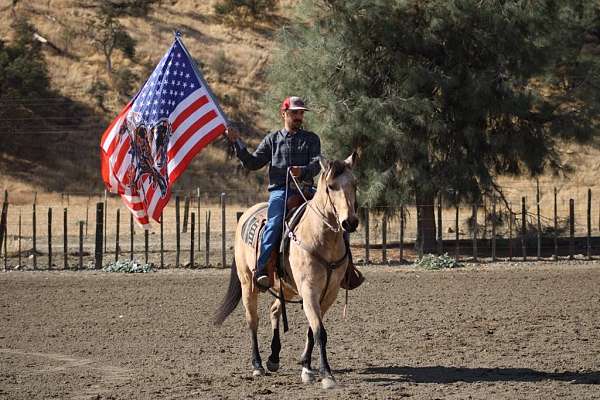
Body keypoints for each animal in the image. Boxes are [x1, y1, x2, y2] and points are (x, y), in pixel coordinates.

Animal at [214, 152, 358, 390]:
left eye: (354, 185)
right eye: (331, 186)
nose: (350, 222)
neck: (320, 238)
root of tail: (245, 214)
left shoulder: (329, 293)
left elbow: (313, 330)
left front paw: (307, 368)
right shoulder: (309, 290)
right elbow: (320, 331)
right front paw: (326, 375)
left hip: (287, 287)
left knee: (274, 310)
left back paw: (273, 358)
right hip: (248, 283)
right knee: (252, 320)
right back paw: (257, 364)